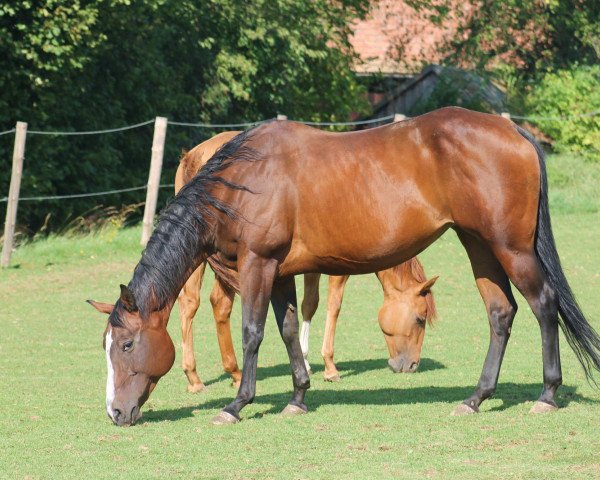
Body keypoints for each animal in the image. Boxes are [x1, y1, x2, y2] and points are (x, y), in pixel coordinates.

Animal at [173, 133, 436, 392]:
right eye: (420, 319)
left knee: (205, 303)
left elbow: (309, 305)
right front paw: (327, 365)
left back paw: (215, 374)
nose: (412, 365)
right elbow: (330, 306)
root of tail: (195, 155)